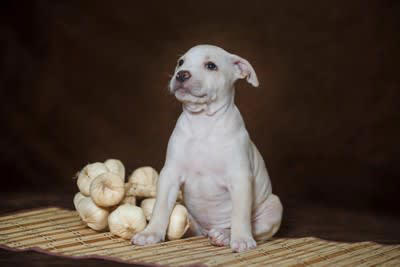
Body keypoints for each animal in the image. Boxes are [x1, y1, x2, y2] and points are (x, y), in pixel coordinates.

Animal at [133, 44, 282, 253]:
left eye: (211, 66)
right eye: (181, 62)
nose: (181, 74)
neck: (203, 122)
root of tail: (205, 231)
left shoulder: (240, 178)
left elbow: (240, 214)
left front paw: (242, 238)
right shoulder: (170, 174)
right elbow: (160, 207)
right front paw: (150, 233)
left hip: (273, 206)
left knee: (254, 226)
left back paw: (224, 235)